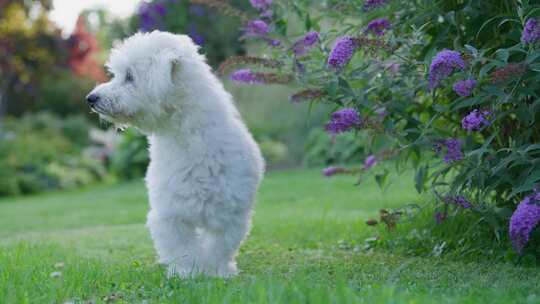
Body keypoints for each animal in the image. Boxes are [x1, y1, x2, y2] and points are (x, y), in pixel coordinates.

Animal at [86, 30, 266, 278]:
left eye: (130, 76)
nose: (91, 98)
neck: (191, 142)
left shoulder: (231, 216)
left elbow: (219, 248)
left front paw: (219, 272)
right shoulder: (171, 215)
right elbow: (183, 250)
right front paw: (187, 274)